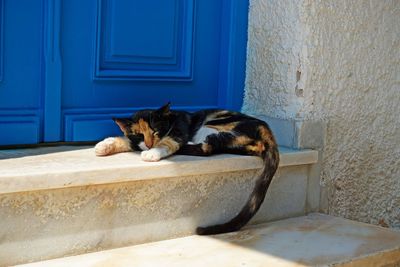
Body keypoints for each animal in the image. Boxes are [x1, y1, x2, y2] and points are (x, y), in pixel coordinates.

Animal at [95, 103, 280, 236]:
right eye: (139, 134)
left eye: (155, 131)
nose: (148, 145)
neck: (170, 120)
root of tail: (266, 130)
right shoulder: (137, 141)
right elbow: (129, 140)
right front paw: (104, 145)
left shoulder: (178, 131)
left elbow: (168, 142)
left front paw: (152, 153)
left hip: (214, 124)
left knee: (208, 147)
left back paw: (187, 145)